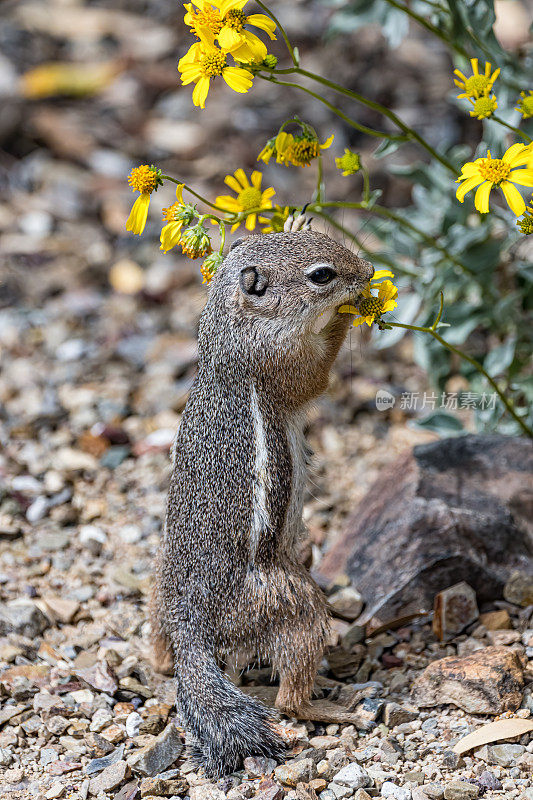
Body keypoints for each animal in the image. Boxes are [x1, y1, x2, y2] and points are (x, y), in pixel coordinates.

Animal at [152, 228, 372, 780]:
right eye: (321, 275)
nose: (367, 272)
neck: (230, 330)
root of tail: (191, 622)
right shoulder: (281, 359)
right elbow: (318, 374)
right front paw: (347, 313)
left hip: (157, 584)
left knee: (160, 647)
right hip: (292, 603)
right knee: (290, 698)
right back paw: (335, 707)